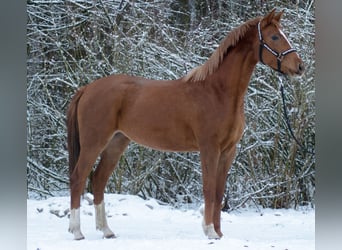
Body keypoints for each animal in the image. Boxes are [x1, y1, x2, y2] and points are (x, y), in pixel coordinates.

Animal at [67, 9, 304, 240]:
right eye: (275, 37)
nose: (299, 66)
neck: (218, 92)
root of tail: (87, 89)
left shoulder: (228, 151)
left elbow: (219, 192)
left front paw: (218, 233)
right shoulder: (209, 148)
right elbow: (208, 189)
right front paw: (209, 231)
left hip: (116, 143)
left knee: (98, 179)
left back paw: (106, 230)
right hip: (93, 143)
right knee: (78, 178)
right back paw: (77, 232)